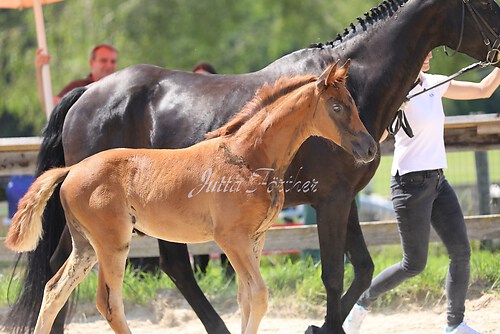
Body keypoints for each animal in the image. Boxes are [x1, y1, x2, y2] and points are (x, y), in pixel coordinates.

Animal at [5, 0, 498, 334]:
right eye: (484, 4)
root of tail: (85, 94)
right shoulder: (330, 201)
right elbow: (335, 273)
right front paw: (322, 325)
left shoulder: (345, 201)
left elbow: (361, 267)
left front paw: (323, 324)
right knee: (69, 270)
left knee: (143, 267)